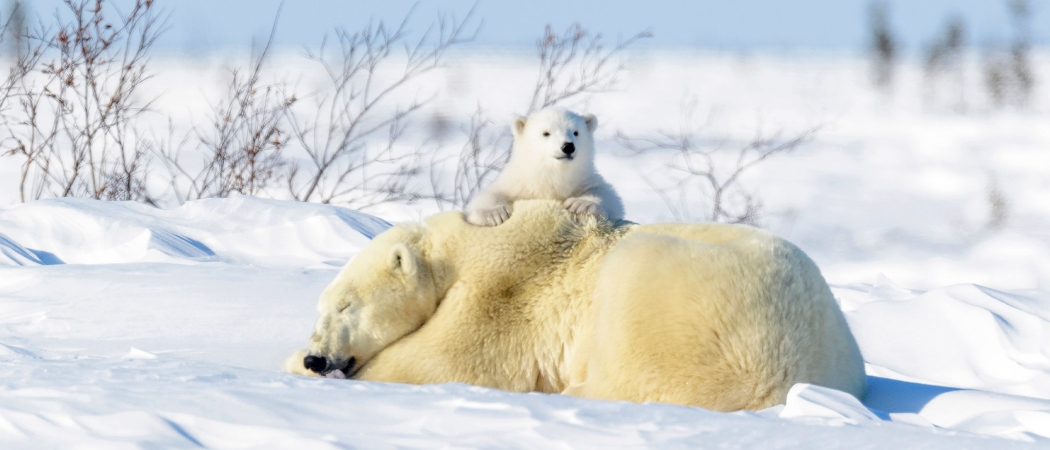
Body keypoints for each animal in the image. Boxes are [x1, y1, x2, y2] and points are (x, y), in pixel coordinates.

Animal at [285, 200, 860, 411]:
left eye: (345, 306)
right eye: (323, 306)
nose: (316, 355)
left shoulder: (506, 287)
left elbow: (445, 358)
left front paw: (295, 365)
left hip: (685, 305)